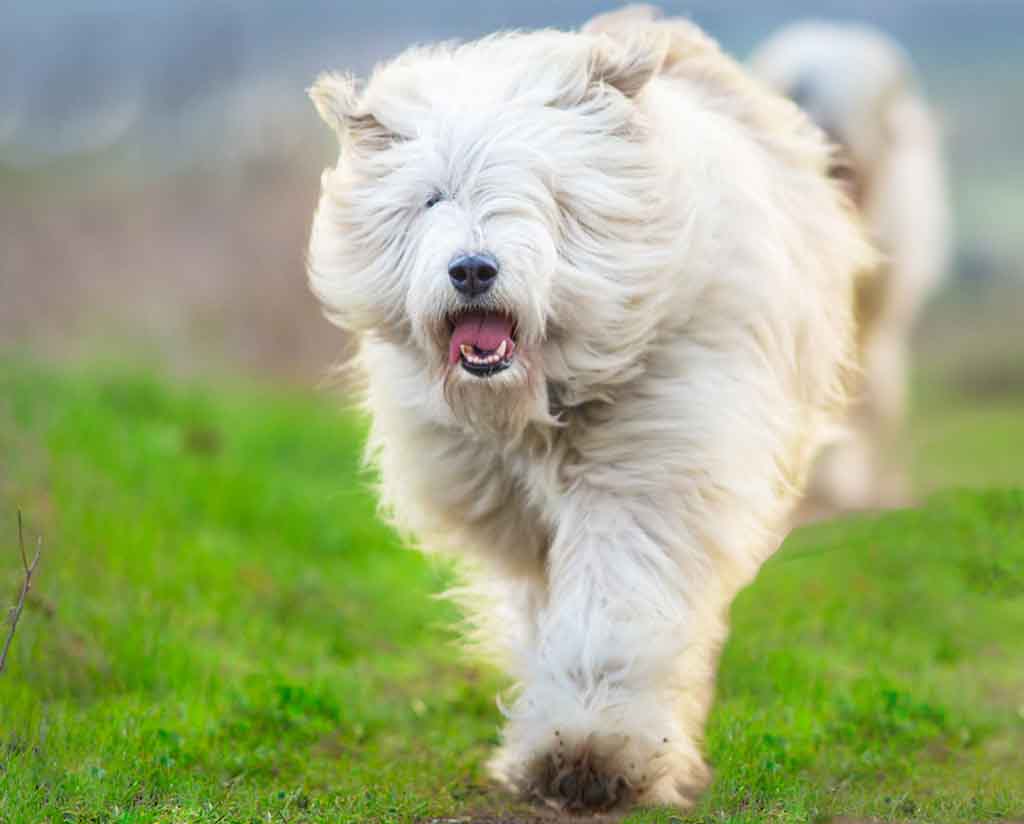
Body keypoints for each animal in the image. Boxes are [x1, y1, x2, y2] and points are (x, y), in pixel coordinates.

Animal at [303, 4, 872, 814]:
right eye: (433, 198)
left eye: (541, 188)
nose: (472, 269)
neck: (540, 402)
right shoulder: (509, 515)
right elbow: (546, 613)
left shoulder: (649, 471)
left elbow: (613, 608)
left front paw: (594, 753)